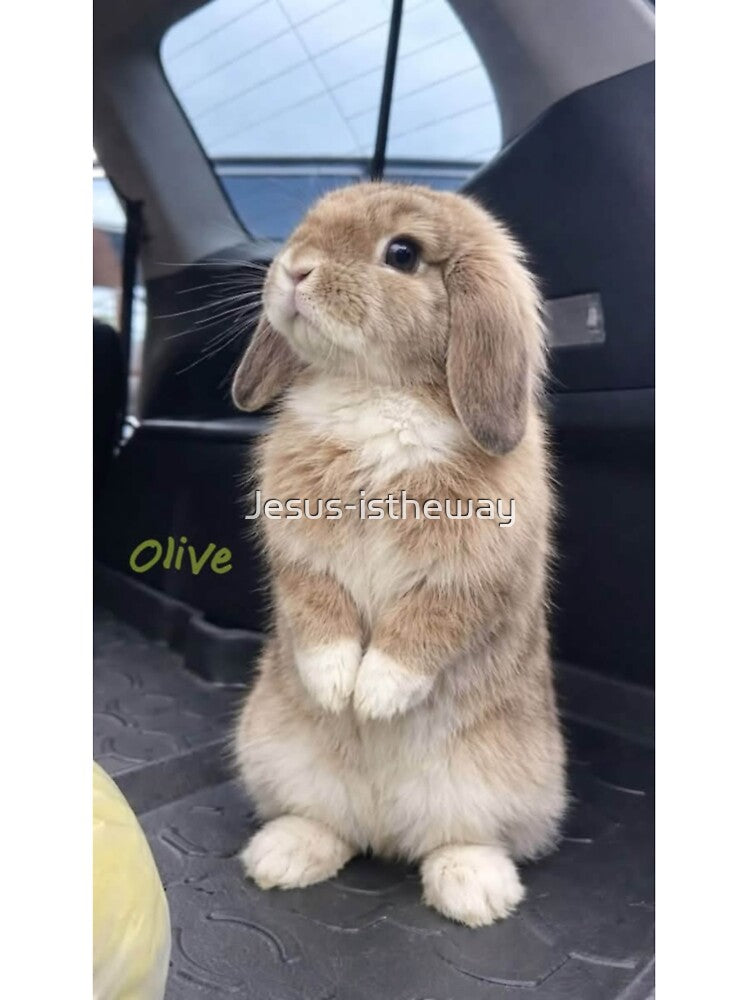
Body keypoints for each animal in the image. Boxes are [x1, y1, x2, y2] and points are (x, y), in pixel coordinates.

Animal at [230, 182, 566, 928]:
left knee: (460, 839)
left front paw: (374, 697)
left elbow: (423, 628)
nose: (294, 269)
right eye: (304, 228)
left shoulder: (469, 573)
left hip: (492, 782)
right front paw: (336, 688)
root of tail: (385, 828)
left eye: (403, 254)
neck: (377, 391)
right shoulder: (300, 553)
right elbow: (318, 612)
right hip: (277, 752)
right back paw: (282, 858)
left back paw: (475, 894)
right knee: (330, 825)